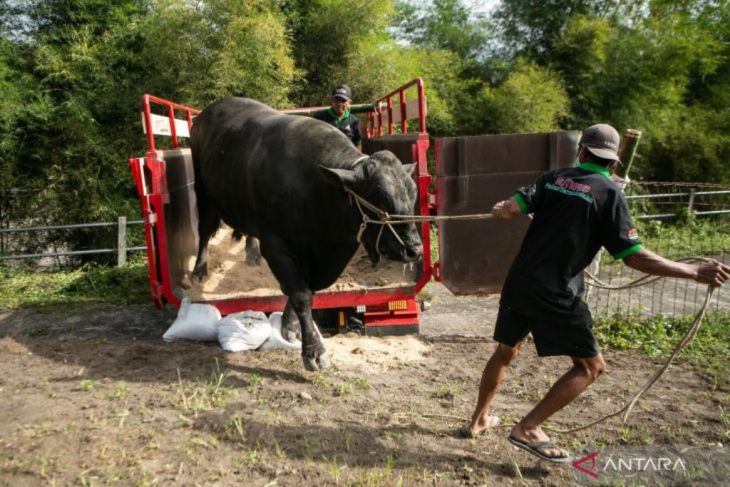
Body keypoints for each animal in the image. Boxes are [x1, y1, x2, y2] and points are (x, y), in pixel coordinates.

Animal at [191, 100, 424, 374]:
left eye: (413, 192)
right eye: (377, 198)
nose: (414, 250)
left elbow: (306, 287)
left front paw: (290, 326)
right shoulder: (276, 245)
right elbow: (300, 293)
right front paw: (314, 350)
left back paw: (251, 253)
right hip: (203, 192)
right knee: (204, 232)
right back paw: (199, 270)